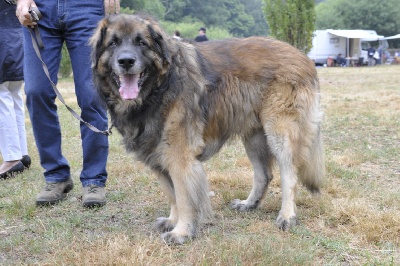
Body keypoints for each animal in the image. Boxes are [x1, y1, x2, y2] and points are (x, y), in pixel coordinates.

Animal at [90, 13, 324, 244]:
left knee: (289, 174)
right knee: (264, 174)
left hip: (279, 133)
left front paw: (182, 232)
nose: (126, 61)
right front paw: (172, 220)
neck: (159, 88)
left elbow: (183, 197)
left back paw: (287, 215)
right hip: (254, 137)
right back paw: (249, 204)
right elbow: (172, 194)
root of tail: (302, 56)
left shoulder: (180, 156)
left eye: (141, 42)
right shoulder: (156, 152)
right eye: (113, 43)